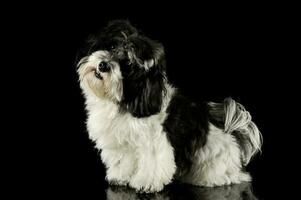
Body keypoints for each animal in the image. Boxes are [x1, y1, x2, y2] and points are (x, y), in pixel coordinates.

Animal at [76, 19, 262, 192]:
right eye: (113, 46)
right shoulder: (120, 142)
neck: (128, 99)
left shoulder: (153, 141)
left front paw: (146, 184)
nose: (103, 65)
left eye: (128, 65)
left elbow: (152, 163)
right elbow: (122, 160)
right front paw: (120, 177)